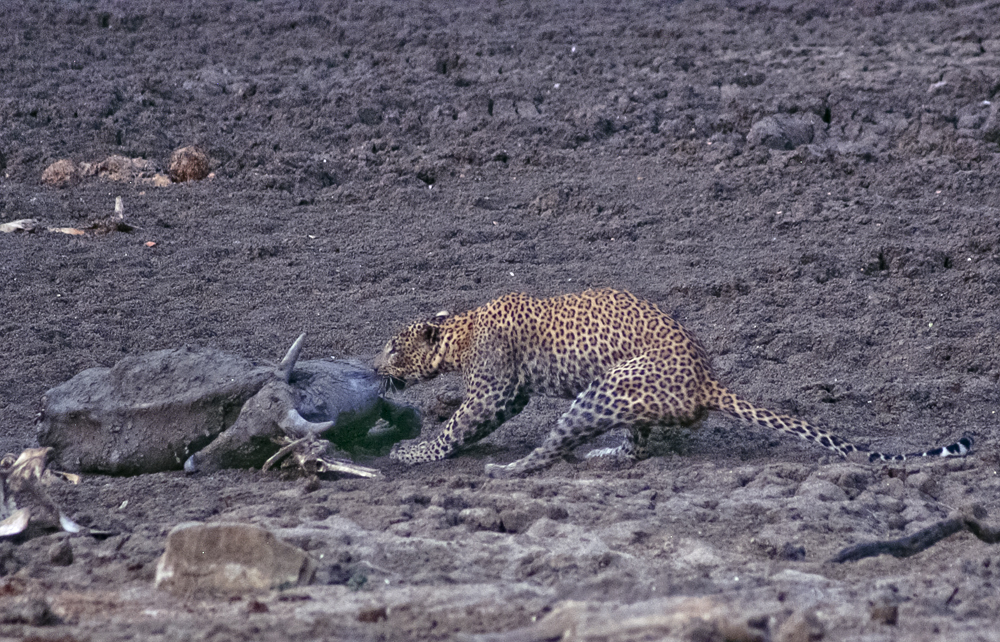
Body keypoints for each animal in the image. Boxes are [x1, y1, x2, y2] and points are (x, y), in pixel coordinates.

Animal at [374, 286, 968, 476]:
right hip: (620, 394)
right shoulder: (509, 392)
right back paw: (606, 454)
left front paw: (411, 454)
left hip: (607, 388)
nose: (375, 370)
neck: (461, 331)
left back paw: (513, 468)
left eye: (390, 347)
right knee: (635, 445)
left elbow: (453, 429)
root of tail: (708, 380)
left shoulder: (495, 392)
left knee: (553, 445)